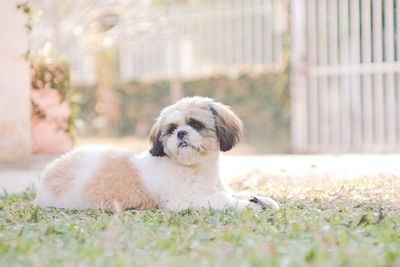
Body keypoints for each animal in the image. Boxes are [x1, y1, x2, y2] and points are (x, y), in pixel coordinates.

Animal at [35, 97, 278, 213]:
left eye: (195, 125)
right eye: (171, 129)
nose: (181, 133)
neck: (194, 168)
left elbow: (239, 193)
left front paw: (264, 200)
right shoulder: (184, 201)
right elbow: (223, 200)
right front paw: (249, 206)